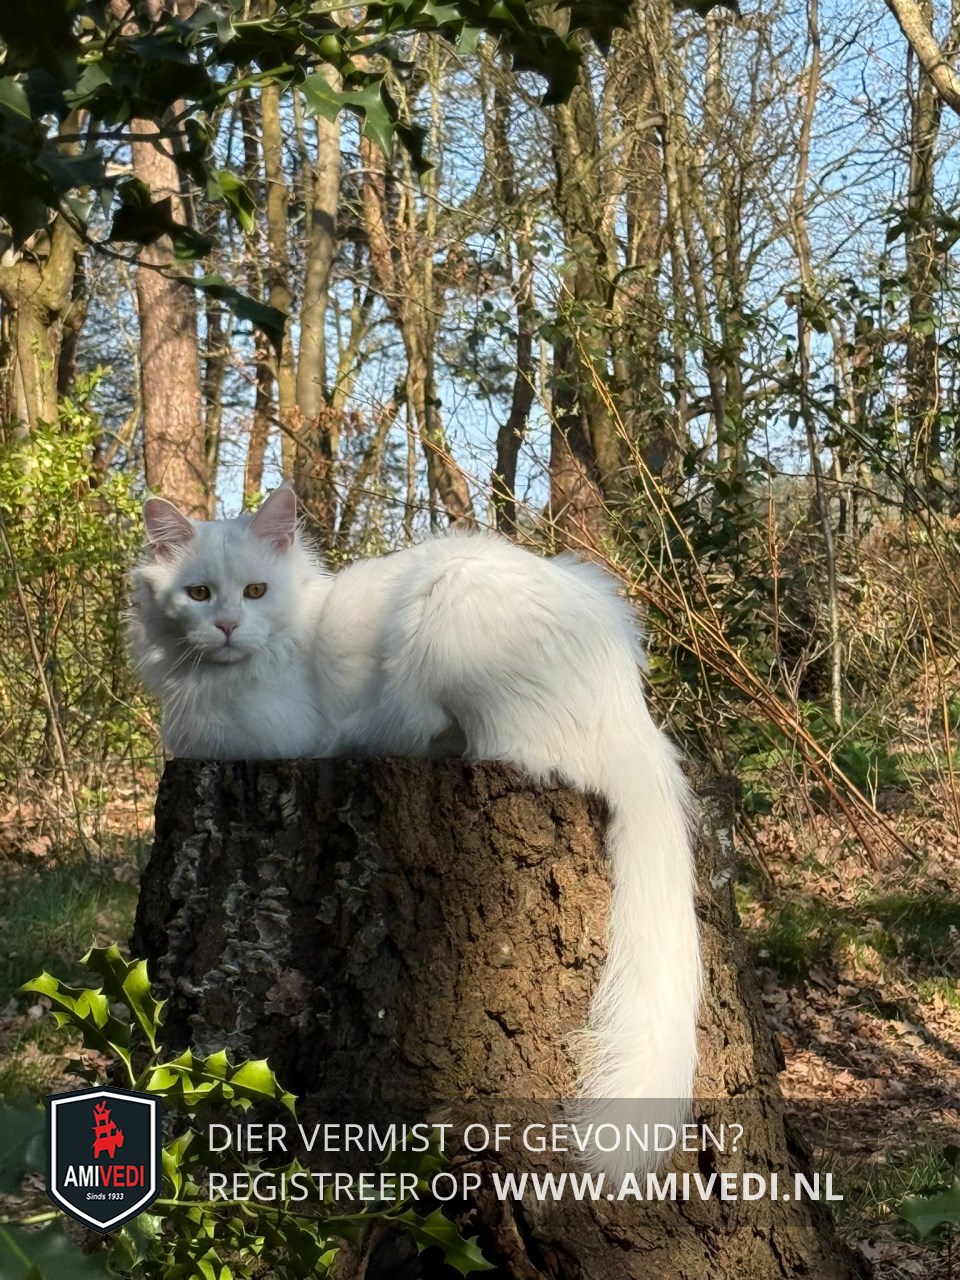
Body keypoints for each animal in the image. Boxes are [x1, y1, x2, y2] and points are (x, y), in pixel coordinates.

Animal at [129, 484, 700, 1177]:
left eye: (257, 592)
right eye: (199, 594)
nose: (229, 626)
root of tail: (634, 721)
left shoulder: (270, 736)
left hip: (448, 613)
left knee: (468, 737)